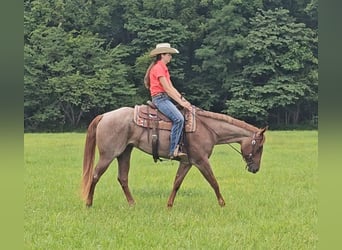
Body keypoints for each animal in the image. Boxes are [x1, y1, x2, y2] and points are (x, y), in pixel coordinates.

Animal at [81, 105, 268, 207]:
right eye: (259, 147)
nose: (256, 169)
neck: (207, 128)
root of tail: (104, 116)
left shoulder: (187, 162)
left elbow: (177, 183)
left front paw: (169, 205)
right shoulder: (201, 161)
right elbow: (214, 182)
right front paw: (222, 204)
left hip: (124, 153)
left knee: (123, 178)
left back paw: (133, 204)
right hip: (108, 155)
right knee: (95, 175)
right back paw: (88, 203)